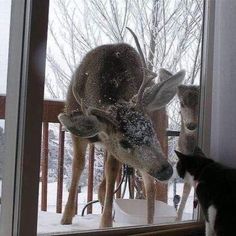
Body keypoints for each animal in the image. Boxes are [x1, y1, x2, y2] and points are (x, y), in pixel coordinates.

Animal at [58, 30, 185, 227]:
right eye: (124, 142)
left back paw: (148, 222)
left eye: (149, 128)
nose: (166, 170)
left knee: (148, 186)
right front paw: (66, 217)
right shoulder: (83, 135)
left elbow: (111, 171)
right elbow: (78, 165)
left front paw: (105, 223)